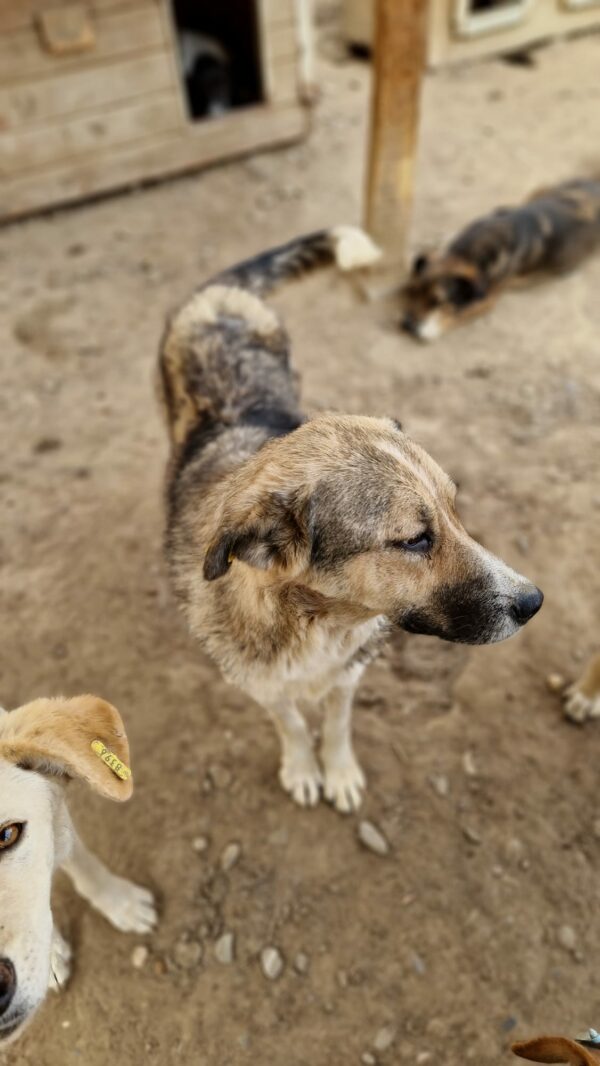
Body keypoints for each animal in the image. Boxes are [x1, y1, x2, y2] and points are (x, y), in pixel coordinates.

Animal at [158, 229, 545, 810]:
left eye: (455, 510)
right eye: (414, 540)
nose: (533, 602)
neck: (315, 625)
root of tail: (219, 292)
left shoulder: (349, 672)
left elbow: (337, 723)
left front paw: (338, 771)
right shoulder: (260, 684)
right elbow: (293, 723)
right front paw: (302, 767)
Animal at [398, 176, 600, 338]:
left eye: (437, 302)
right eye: (413, 291)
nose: (406, 325)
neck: (469, 252)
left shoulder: (489, 299)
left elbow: (459, 315)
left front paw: (431, 328)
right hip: (540, 189)